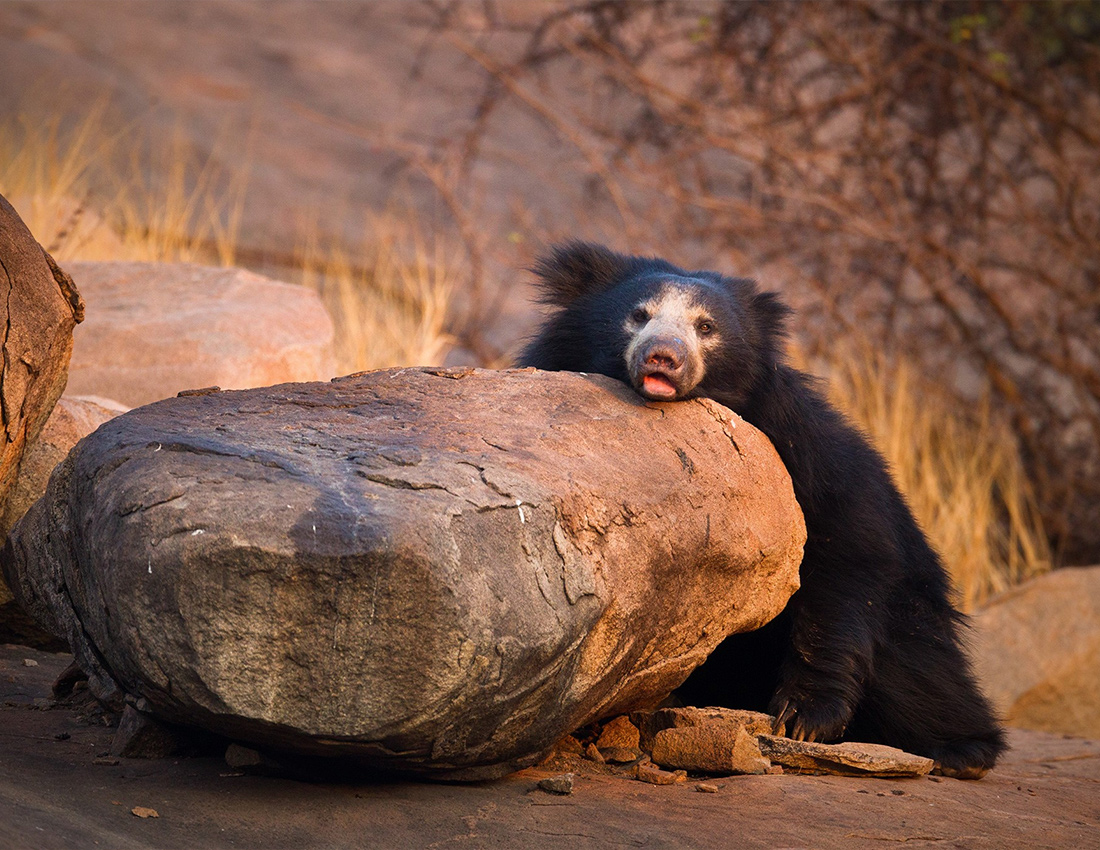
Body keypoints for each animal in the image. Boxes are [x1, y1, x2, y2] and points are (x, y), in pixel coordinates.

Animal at [519, 241, 1007, 778]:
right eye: (638, 315)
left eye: (706, 327)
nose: (664, 356)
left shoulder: (801, 449)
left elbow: (847, 554)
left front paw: (804, 720)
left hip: (914, 617)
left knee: (918, 667)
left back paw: (962, 750)